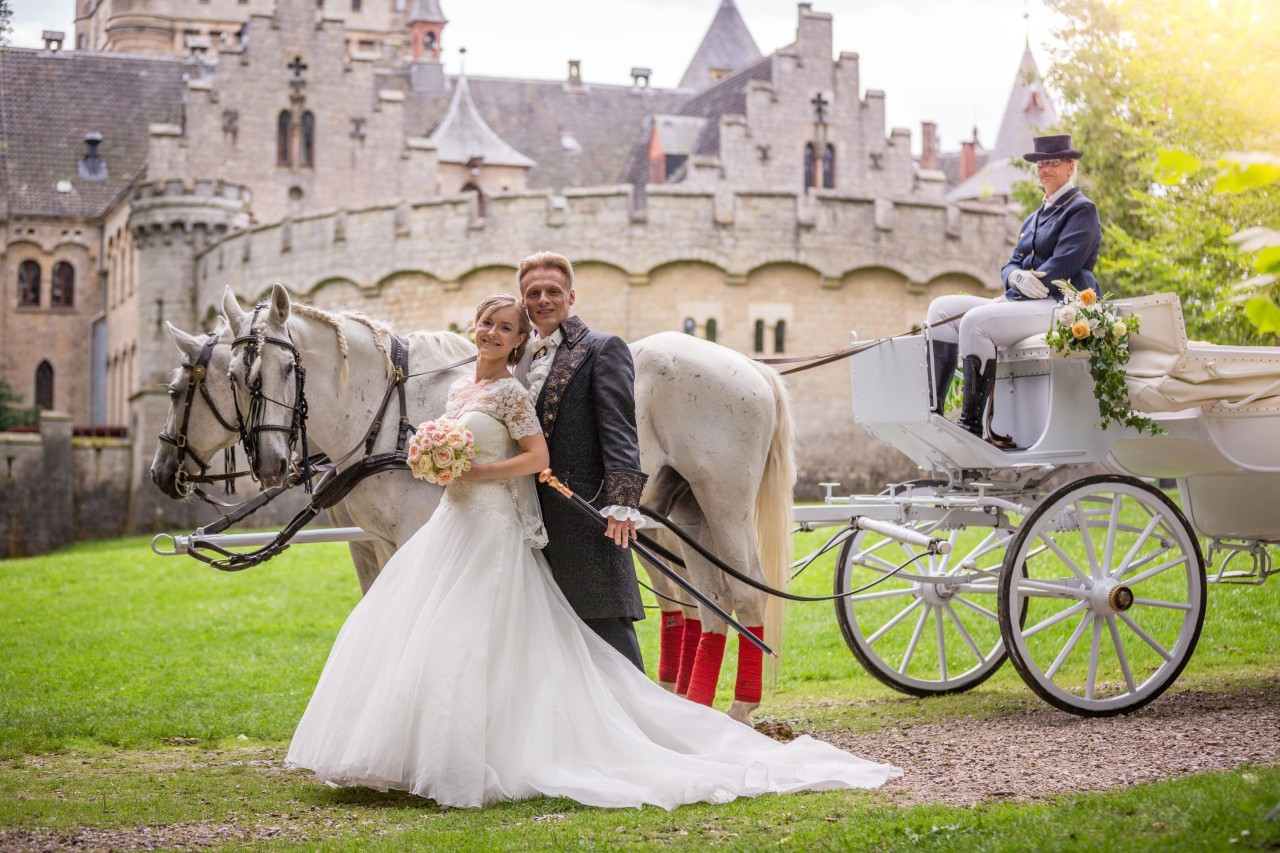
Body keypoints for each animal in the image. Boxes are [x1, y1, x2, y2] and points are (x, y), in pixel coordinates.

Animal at [154, 284, 793, 717]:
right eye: (235, 377)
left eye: (286, 368)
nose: (162, 473)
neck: (383, 415)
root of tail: (751, 367)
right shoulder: (371, 542)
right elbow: (378, 607)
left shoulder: (410, 536)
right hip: (680, 511)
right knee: (707, 599)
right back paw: (692, 703)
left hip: (722, 500)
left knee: (744, 590)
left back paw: (738, 708)